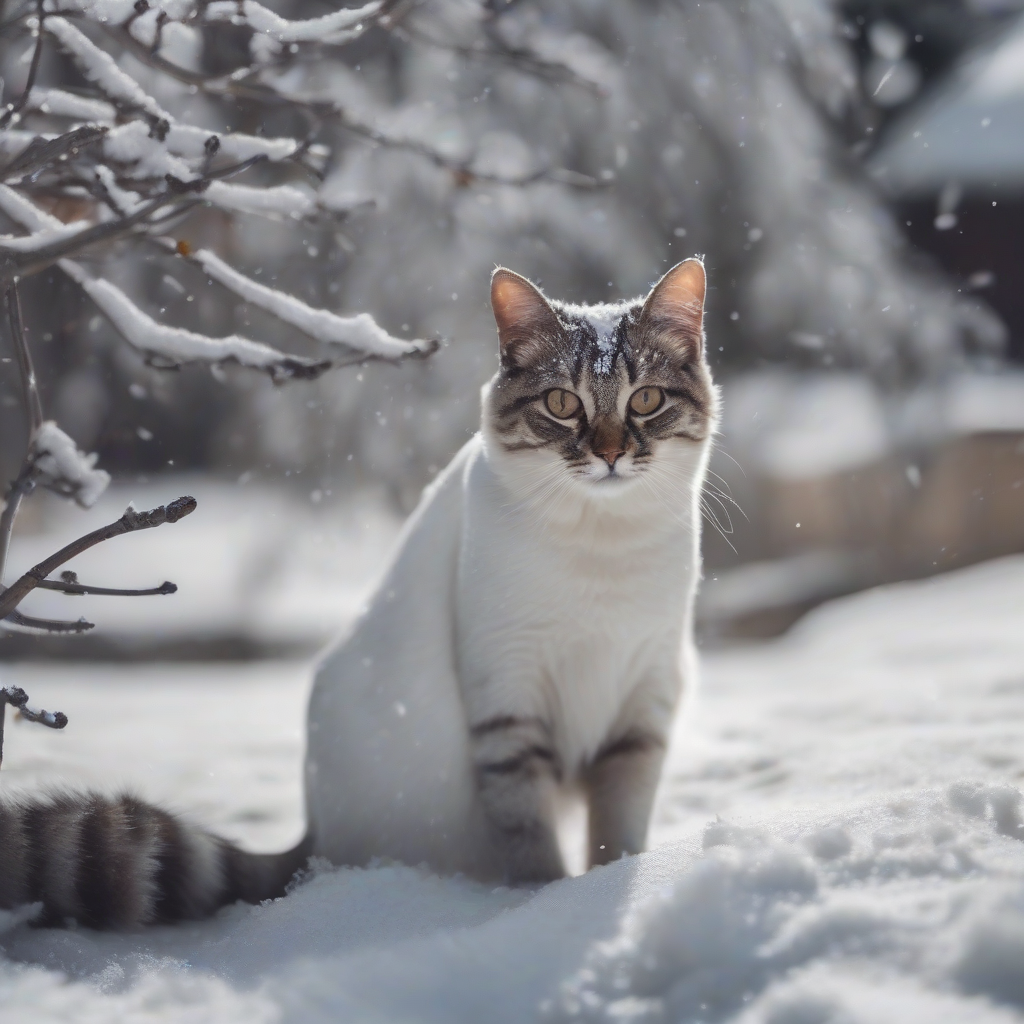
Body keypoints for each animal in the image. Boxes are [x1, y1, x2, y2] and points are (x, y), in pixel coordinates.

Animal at [0, 258, 716, 929]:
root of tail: (312, 838)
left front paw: (609, 890)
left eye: (646, 400)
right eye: (563, 405)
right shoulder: (508, 702)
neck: (603, 546)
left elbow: (618, 837)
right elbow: (531, 837)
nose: (610, 454)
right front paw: (544, 906)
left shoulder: (643, 706)